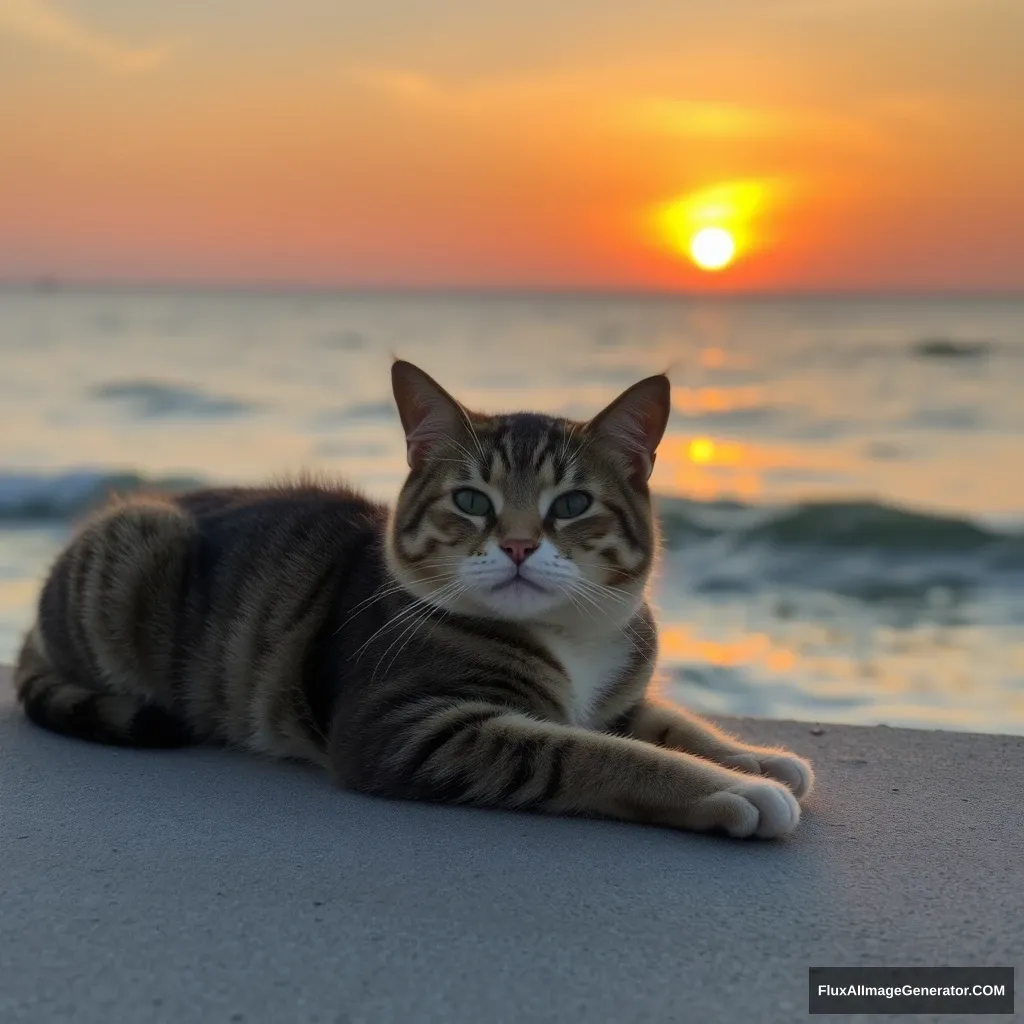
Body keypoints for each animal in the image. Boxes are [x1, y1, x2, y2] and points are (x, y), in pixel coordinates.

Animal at [9, 360, 806, 839]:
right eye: (472, 500)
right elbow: (594, 753)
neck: (570, 635)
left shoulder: (617, 695)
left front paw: (757, 759)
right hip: (141, 540)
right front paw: (736, 789)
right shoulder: (411, 725)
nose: (520, 545)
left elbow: (670, 723)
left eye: (573, 503)